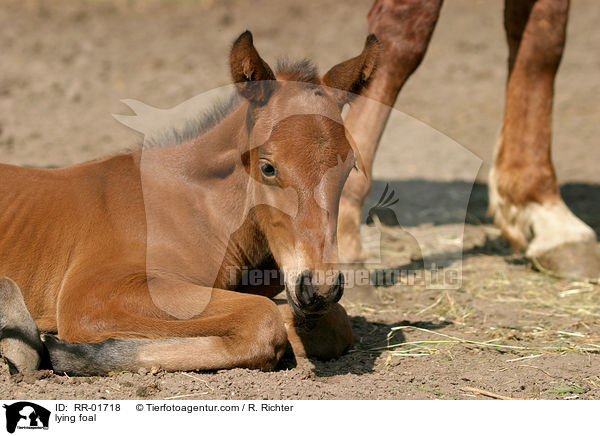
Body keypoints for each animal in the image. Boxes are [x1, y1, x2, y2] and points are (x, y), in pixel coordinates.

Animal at [0, 32, 380, 376]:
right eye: (268, 167)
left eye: (350, 167)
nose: (320, 288)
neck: (194, 209)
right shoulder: (92, 295)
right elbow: (263, 320)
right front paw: (69, 353)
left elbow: (332, 324)